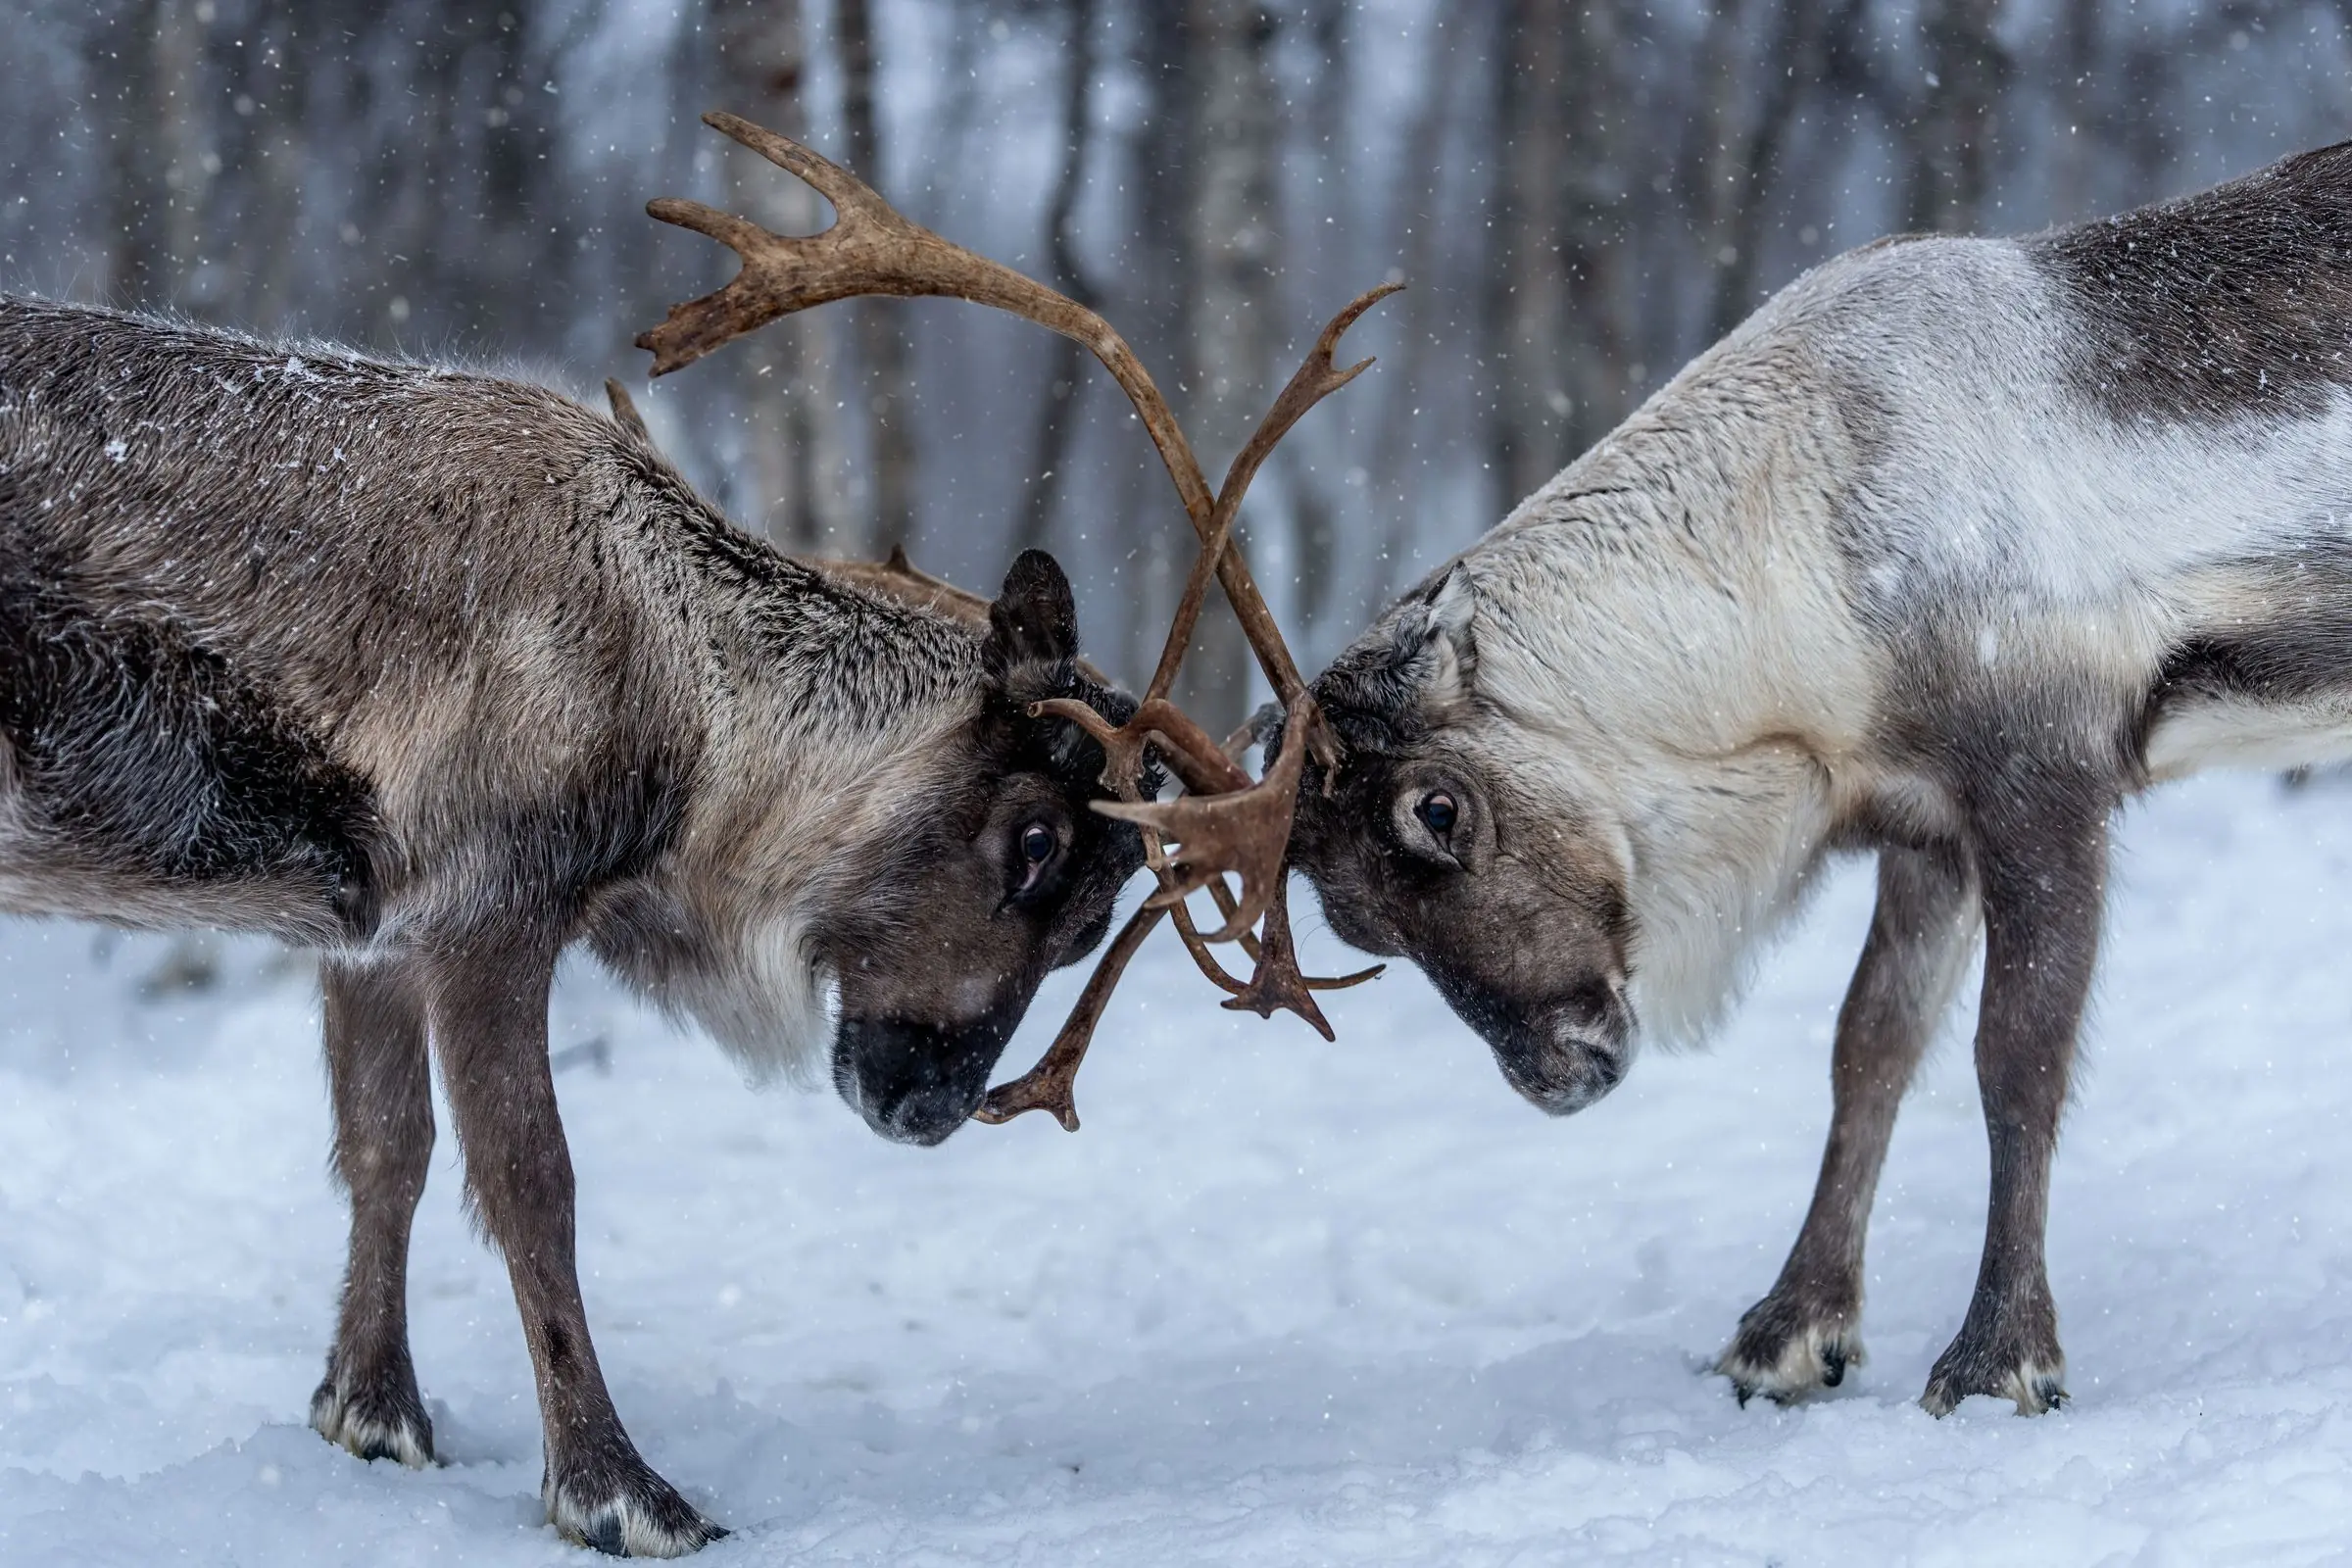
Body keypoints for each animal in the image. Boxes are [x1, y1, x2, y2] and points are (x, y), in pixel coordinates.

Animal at [0, 109, 1389, 1556]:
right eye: (1036, 842)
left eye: (1092, 922)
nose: (928, 1106)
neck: (688, 710)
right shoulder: (492, 902)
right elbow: (531, 1183)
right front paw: (618, 1489)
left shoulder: (363, 924)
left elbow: (385, 1150)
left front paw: (371, 1414)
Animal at [1269, 140, 2352, 1420]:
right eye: (1353, 922)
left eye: (1439, 808)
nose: (1557, 1074)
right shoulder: (1928, 822)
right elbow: (1868, 1050)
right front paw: (1789, 1335)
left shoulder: (2046, 781)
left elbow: (2015, 1059)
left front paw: (1999, 1359)